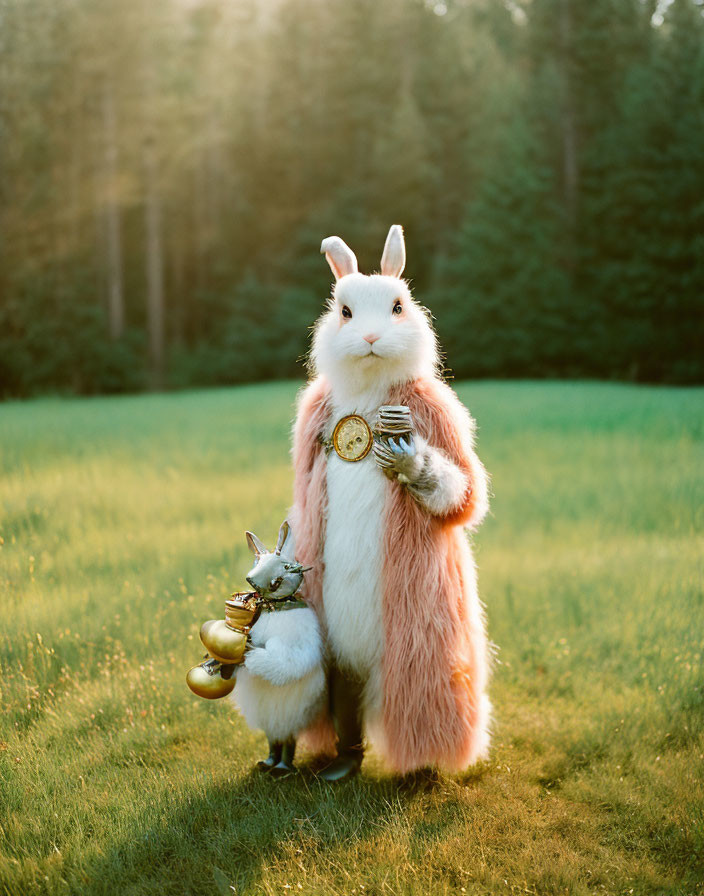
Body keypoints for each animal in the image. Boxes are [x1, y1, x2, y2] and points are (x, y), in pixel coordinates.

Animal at [232, 520, 328, 772]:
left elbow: (285, 660)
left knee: (287, 738)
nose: (252, 581)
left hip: (288, 712)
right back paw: (266, 763)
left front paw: (251, 654)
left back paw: (282, 768)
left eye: (285, 571)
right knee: (272, 737)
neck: (273, 606)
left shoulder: (296, 643)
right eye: (257, 561)